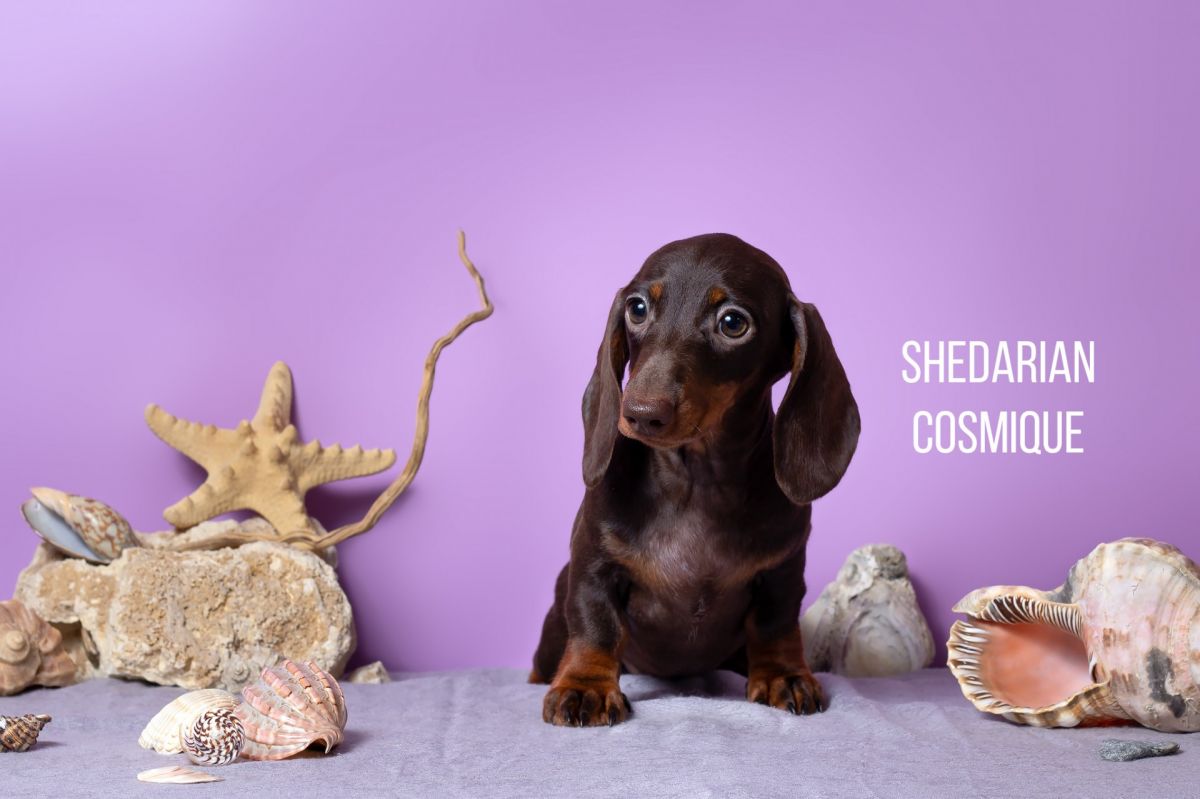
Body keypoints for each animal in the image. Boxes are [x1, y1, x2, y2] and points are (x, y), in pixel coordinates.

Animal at [530, 233, 860, 726]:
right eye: (638, 308)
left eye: (732, 323)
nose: (640, 413)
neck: (695, 482)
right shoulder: (593, 565)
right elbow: (595, 625)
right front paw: (585, 685)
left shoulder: (783, 571)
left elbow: (776, 625)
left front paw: (783, 676)